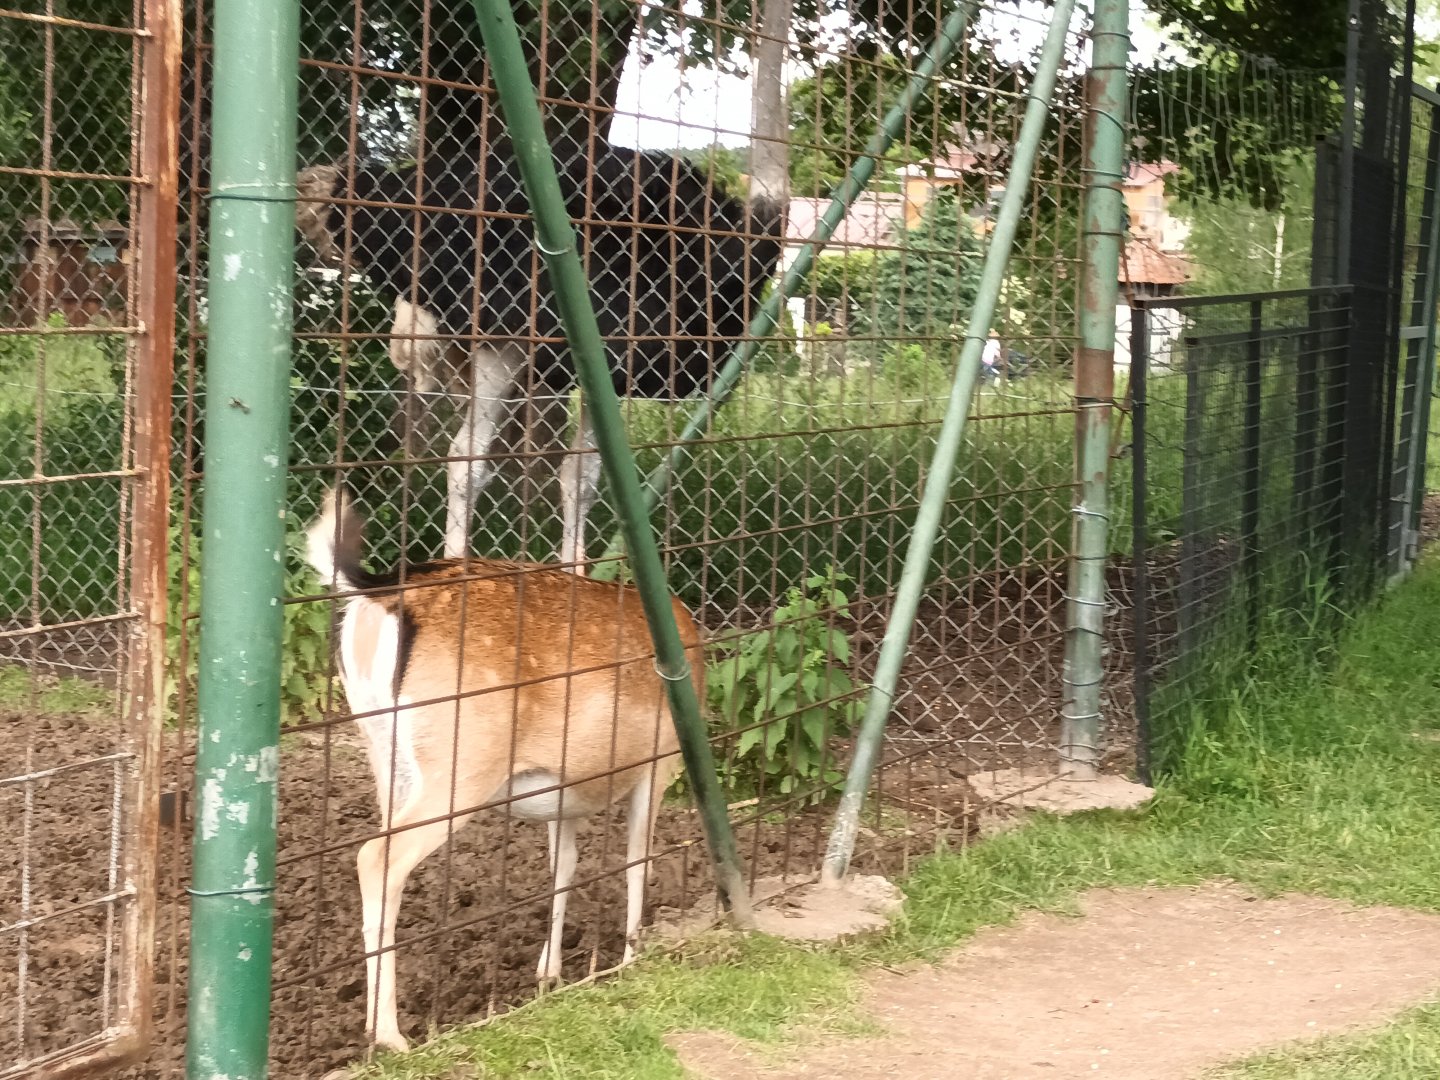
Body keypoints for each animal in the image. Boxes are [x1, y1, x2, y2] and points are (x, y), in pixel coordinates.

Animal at [304, 487, 699, 1051]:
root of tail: (380, 593)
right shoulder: (660, 760)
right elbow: (636, 861)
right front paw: (629, 959)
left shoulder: (565, 789)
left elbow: (563, 866)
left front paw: (548, 973)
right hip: (462, 760)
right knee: (377, 857)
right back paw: (393, 1037)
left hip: (383, 754)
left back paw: (370, 1026)